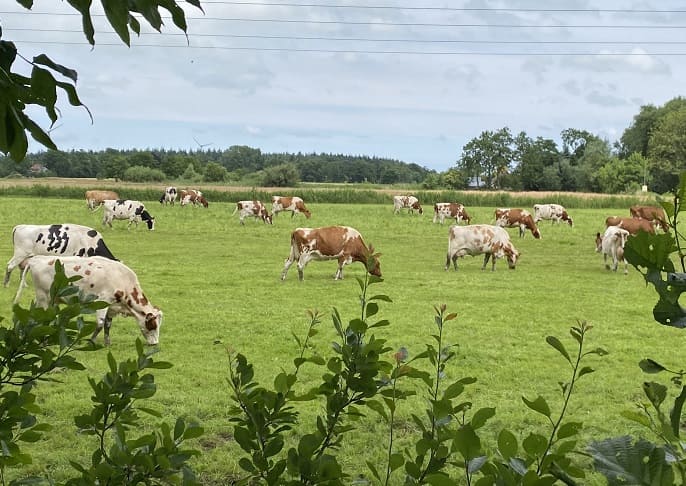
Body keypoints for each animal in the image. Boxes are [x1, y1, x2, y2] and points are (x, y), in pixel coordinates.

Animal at [14, 256, 162, 346]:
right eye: (153, 326)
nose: (155, 343)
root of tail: (36, 259)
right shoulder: (103, 301)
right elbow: (100, 324)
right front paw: (91, 341)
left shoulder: (112, 306)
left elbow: (107, 325)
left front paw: (107, 343)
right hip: (43, 297)